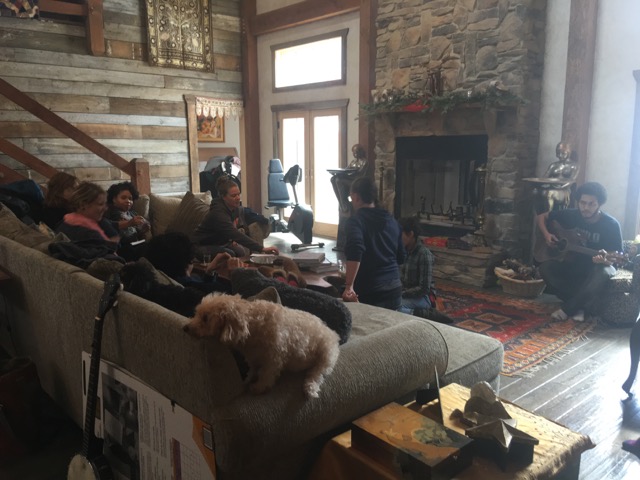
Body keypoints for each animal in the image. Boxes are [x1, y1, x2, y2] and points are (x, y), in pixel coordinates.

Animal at [183, 292, 340, 398]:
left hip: (326, 356)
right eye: (197, 313)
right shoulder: (253, 358)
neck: (252, 325)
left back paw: (310, 388)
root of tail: (333, 334)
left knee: (317, 373)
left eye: (206, 318)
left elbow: (266, 375)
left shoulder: (274, 359)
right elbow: (252, 371)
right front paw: (247, 380)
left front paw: (258, 387)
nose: (185, 328)